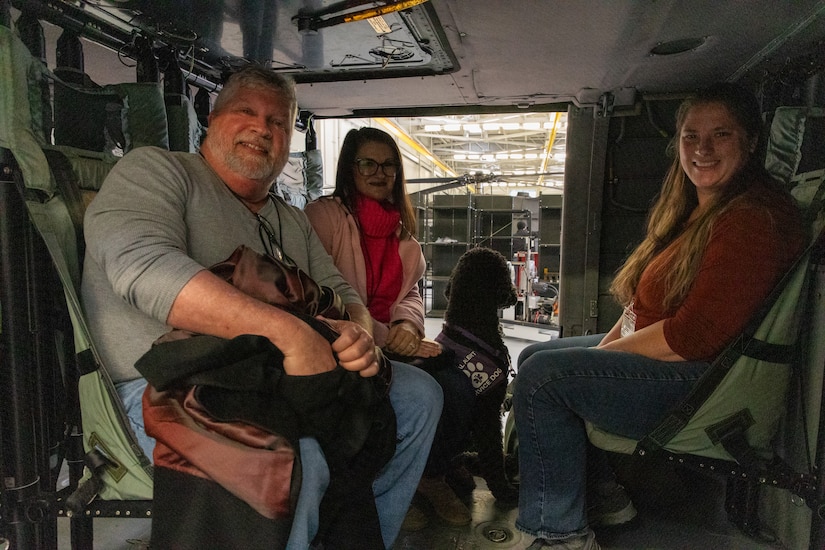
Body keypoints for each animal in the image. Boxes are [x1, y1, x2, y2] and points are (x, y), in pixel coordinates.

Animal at [424, 248, 516, 506]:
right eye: (505, 270)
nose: (516, 294)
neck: (472, 324)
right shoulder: (488, 411)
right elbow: (492, 452)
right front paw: (504, 491)